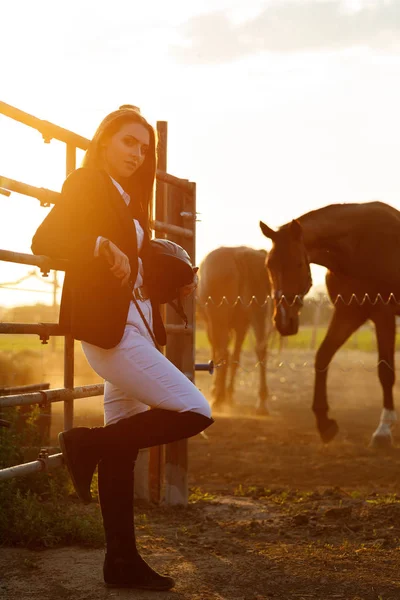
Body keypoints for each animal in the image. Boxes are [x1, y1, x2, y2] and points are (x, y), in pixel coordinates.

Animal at [198, 246, 274, 414]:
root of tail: (239, 253)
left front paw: (218, 390)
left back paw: (218, 398)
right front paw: (229, 394)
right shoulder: (241, 326)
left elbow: (218, 353)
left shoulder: (213, 326)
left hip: (219, 319)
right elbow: (236, 356)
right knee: (261, 349)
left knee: (223, 352)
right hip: (258, 312)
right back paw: (261, 401)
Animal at [260, 200, 400, 446]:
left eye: (298, 263)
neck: (358, 247)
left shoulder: (383, 315)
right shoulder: (347, 315)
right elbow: (322, 357)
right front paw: (324, 422)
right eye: (269, 265)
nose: (283, 321)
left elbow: (385, 371)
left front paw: (383, 430)